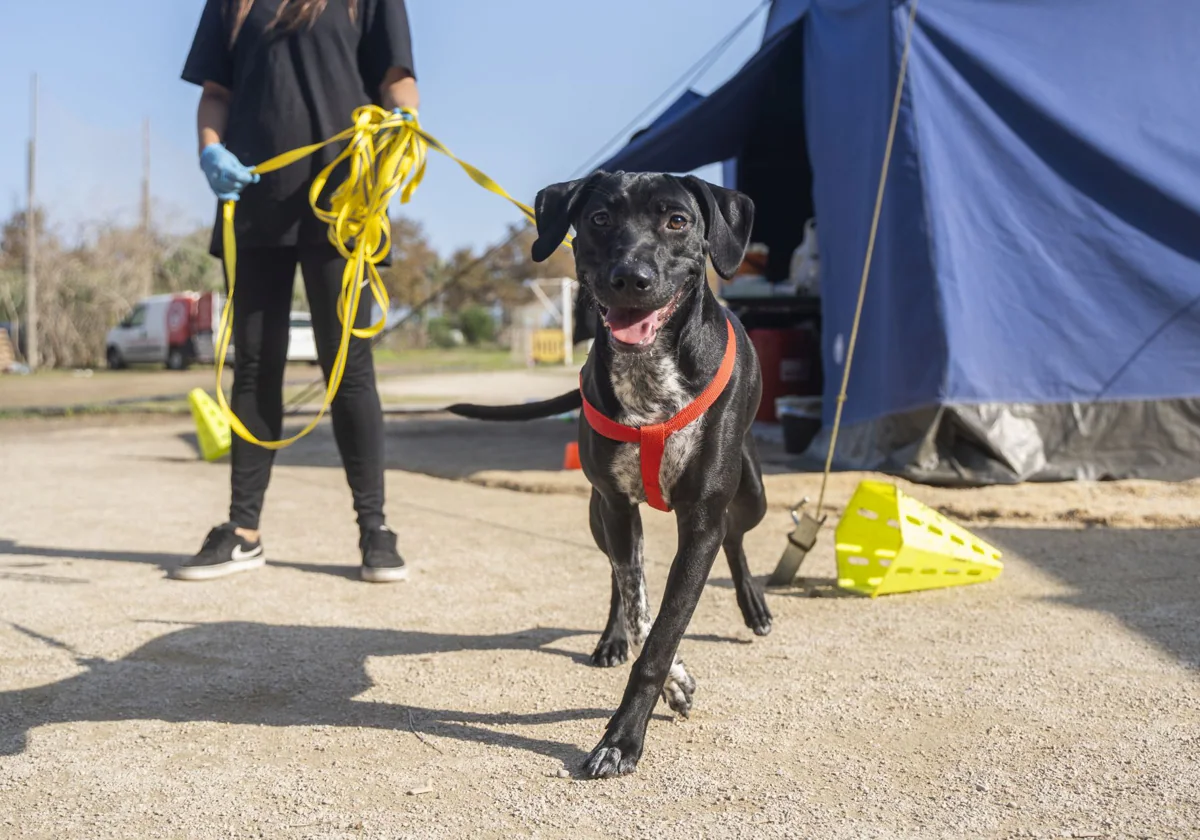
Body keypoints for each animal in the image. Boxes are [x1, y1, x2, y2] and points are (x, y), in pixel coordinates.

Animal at [448, 172, 768, 782]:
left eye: (677, 221)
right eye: (599, 219)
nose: (630, 278)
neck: (650, 379)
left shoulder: (702, 519)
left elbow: (664, 631)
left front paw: (623, 738)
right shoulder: (617, 506)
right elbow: (641, 609)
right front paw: (668, 679)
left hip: (750, 492)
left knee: (737, 539)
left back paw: (755, 608)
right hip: (601, 514)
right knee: (622, 577)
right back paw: (610, 638)